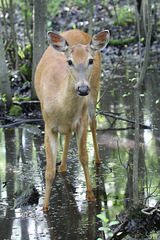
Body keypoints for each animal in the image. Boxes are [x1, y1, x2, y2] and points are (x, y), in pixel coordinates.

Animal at [34, 28, 110, 212]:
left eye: (90, 60)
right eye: (69, 61)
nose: (82, 89)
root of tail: (78, 30)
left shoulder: (80, 120)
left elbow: (83, 157)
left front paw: (91, 196)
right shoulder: (48, 125)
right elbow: (49, 171)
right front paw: (44, 208)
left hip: (94, 91)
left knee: (93, 123)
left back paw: (98, 160)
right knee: (68, 133)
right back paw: (62, 167)